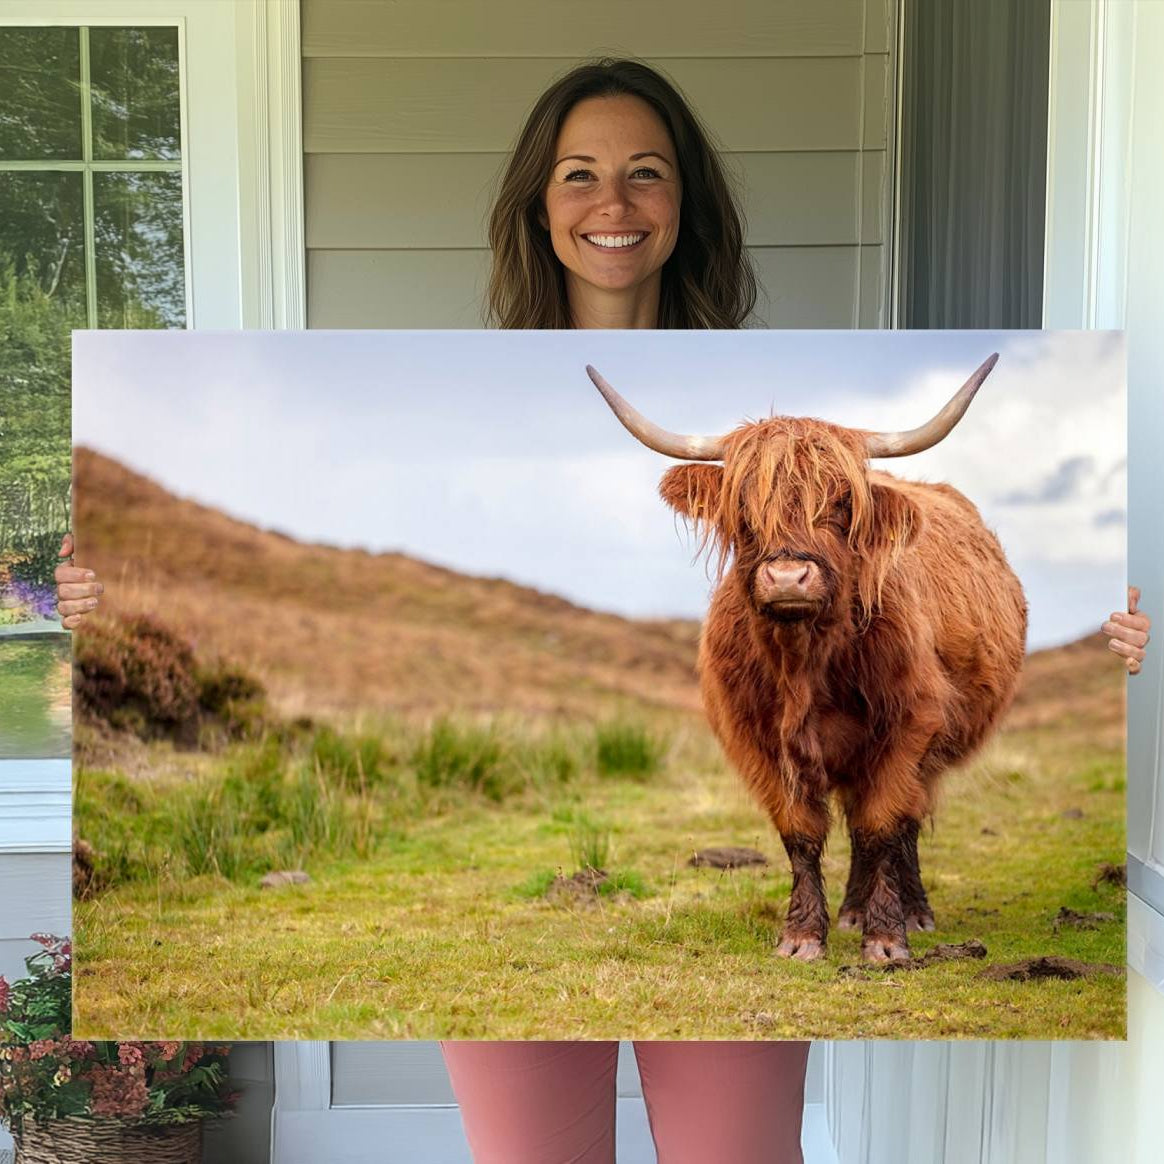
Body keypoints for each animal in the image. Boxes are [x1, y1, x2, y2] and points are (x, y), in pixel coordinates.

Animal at [587, 356, 1027, 963]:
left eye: (842, 503)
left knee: (902, 824)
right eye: (743, 507)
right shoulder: (758, 740)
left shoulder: (910, 726)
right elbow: (801, 833)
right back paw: (850, 911)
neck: (804, 664)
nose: (788, 577)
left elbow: (882, 825)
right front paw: (801, 936)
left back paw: (912, 912)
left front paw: (886, 940)